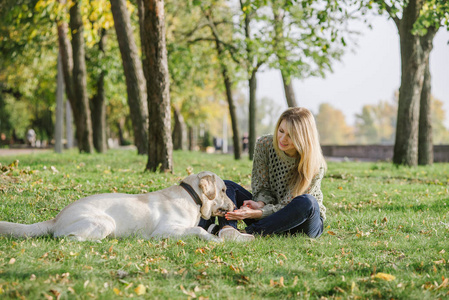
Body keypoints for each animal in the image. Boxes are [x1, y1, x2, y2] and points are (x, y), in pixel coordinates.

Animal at [0, 171, 233, 241]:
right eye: (223, 190)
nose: (232, 205)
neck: (192, 196)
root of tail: (56, 217)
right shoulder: (164, 231)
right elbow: (198, 230)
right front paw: (214, 239)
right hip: (105, 222)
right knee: (68, 238)